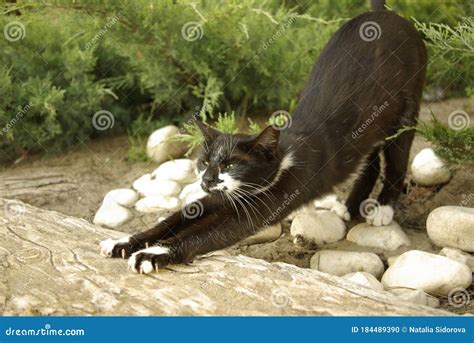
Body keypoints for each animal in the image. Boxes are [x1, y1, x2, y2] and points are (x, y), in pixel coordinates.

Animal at [99, 0, 426, 274]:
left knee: (396, 159)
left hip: (407, 108)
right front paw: (124, 242)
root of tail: (383, 14)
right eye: (204, 162)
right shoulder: (216, 199)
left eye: (231, 165)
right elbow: (174, 219)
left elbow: (203, 235)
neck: (283, 160)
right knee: (369, 157)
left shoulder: (265, 203)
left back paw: (382, 208)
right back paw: (350, 205)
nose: (208, 180)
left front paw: (153, 255)